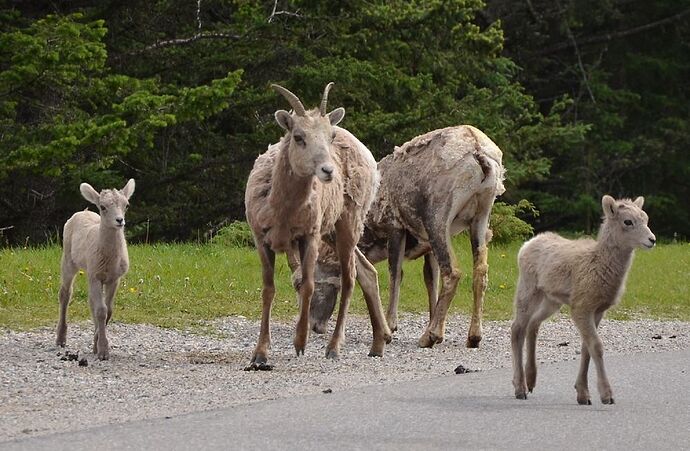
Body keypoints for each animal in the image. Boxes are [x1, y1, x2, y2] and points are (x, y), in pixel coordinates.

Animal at [55, 179, 135, 360]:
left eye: (126, 205)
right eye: (103, 207)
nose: (119, 220)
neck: (110, 260)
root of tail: (82, 212)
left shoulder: (114, 278)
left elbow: (108, 310)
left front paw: (96, 344)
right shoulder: (96, 275)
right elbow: (101, 310)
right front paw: (103, 351)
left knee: (90, 301)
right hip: (68, 260)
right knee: (65, 294)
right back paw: (60, 339)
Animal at [245, 83, 390, 370]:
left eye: (330, 136)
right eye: (299, 137)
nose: (328, 171)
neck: (281, 209)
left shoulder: (309, 237)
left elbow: (309, 284)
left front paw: (300, 343)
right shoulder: (262, 240)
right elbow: (269, 290)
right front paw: (260, 355)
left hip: (348, 226)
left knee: (351, 277)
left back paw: (334, 348)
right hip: (333, 233)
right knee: (367, 273)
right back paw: (377, 346)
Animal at [306, 127, 506, 350]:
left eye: (314, 281)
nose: (315, 326)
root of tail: (481, 156)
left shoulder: (395, 227)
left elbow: (396, 273)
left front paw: (391, 326)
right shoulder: (427, 245)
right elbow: (430, 279)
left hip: (437, 218)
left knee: (453, 272)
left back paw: (429, 337)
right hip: (480, 217)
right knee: (480, 271)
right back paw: (473, 337)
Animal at [510, 196, 656, 404]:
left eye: (645, 218)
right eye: (628, 221)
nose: (652, 240)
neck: (599, 264)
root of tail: (526, 246)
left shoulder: (598, 310)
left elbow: (586, 348)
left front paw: (583, 395)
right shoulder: (581, 308)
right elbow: (596, 346)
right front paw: (606, 395)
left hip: (551, 301)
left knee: (532, 325)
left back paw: (531, 381)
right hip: (528, 290)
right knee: (517, 329)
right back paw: (520, 389)